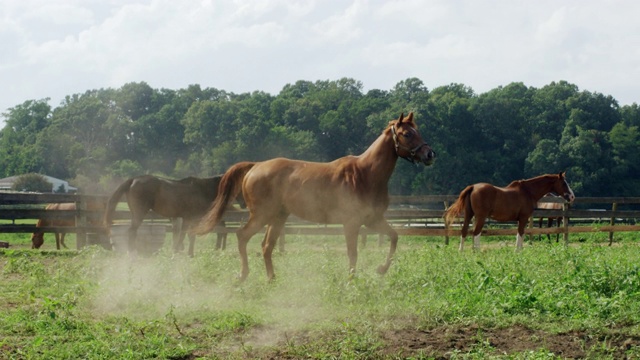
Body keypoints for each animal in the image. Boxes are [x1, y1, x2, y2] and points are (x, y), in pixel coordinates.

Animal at [104, 174, 241, 256]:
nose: (244, 203)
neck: (203, 190)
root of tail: (134, 179)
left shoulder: (189, 219)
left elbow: (188, 235)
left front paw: (186, 253)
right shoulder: (190, 218)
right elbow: (186, 235)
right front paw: (179, 252)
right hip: (139, 214)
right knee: (132, 231)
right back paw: (132, 253)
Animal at [195, 112, 436, 282]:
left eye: (418, 130)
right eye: (407, 134)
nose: (429, 154)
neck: (365, 174)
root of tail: (255, 166)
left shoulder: (373, 220)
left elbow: (393, 237)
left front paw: (381, 269)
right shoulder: (352, 223)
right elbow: (353, 253)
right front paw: (351, 280)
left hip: (278, 217)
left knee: (266, 246)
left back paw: (272, 279)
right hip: (262, 215)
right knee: (243, 236)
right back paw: (242, 275)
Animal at [444, 173, 576, 252]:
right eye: (564, 183)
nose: (572, 196)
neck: (528, 191)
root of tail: (473, 187)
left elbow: (518, 234)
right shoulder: (523, 218)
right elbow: (521, 234)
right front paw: (518, 251)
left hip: (469, 215)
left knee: (464, 231)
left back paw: (461, 251)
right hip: (481, 217)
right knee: (476, 233)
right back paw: (477, 252)